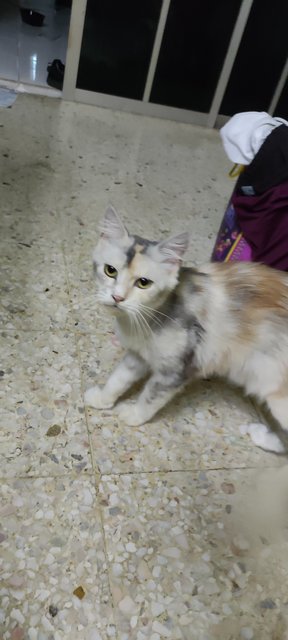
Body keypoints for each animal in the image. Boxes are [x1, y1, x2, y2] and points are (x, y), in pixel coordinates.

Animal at [84, 208, 288, 452]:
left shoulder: (177, 369)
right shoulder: (138, 355)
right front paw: (103, 399)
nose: (117, 297)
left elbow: (151, 397)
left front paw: (133, 414)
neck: (149, 318)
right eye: (110, 270)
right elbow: (119, 378)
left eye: (143, 283)